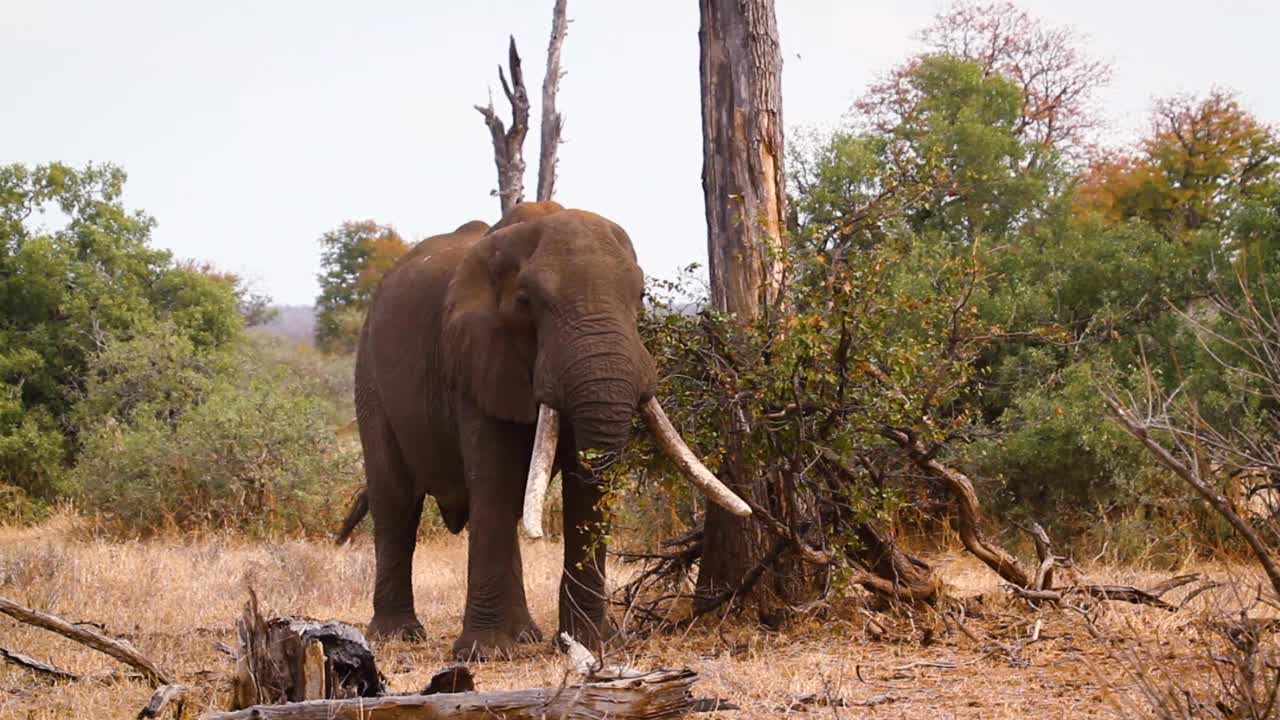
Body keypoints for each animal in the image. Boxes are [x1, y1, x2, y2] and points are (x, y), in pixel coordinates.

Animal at [340, 198, 747, 661]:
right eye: (526, 302)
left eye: (641, 297)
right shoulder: (472, 359)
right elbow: (496, 481)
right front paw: (483, 654)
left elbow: (583, 489)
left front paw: (592, 644)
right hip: (369, 379)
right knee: (397, 502)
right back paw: (399, 636)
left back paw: (525, 637)